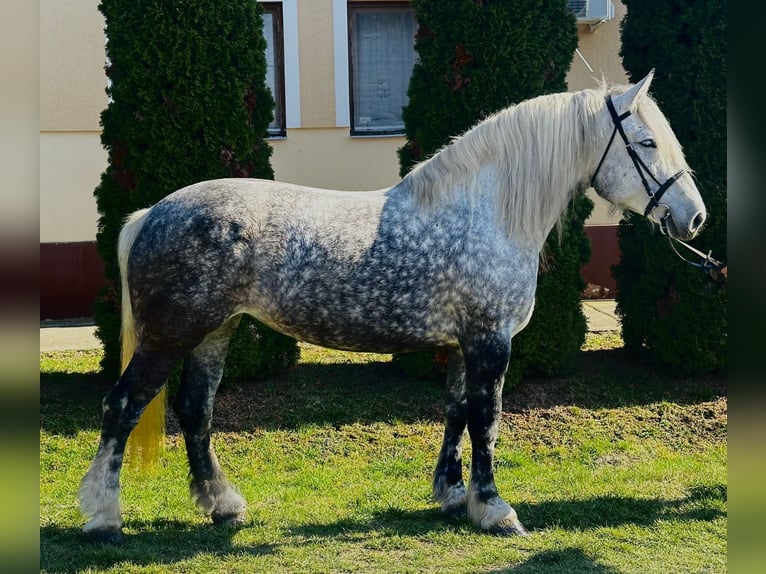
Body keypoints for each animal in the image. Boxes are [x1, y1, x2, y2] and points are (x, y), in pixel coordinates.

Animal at [79, 70, 707, 543]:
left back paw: (222, 504)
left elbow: (456, 412)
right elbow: (486, 420)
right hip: (170, 337)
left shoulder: (463, 343)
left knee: (195, 411)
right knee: (122, 406)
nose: (694, 216)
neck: (484, 212)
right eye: (646, 143)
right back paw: (104, 517)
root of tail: (153, 213)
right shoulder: (490, 340)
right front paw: (495, 509)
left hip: (216, 332)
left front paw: (453, 496)